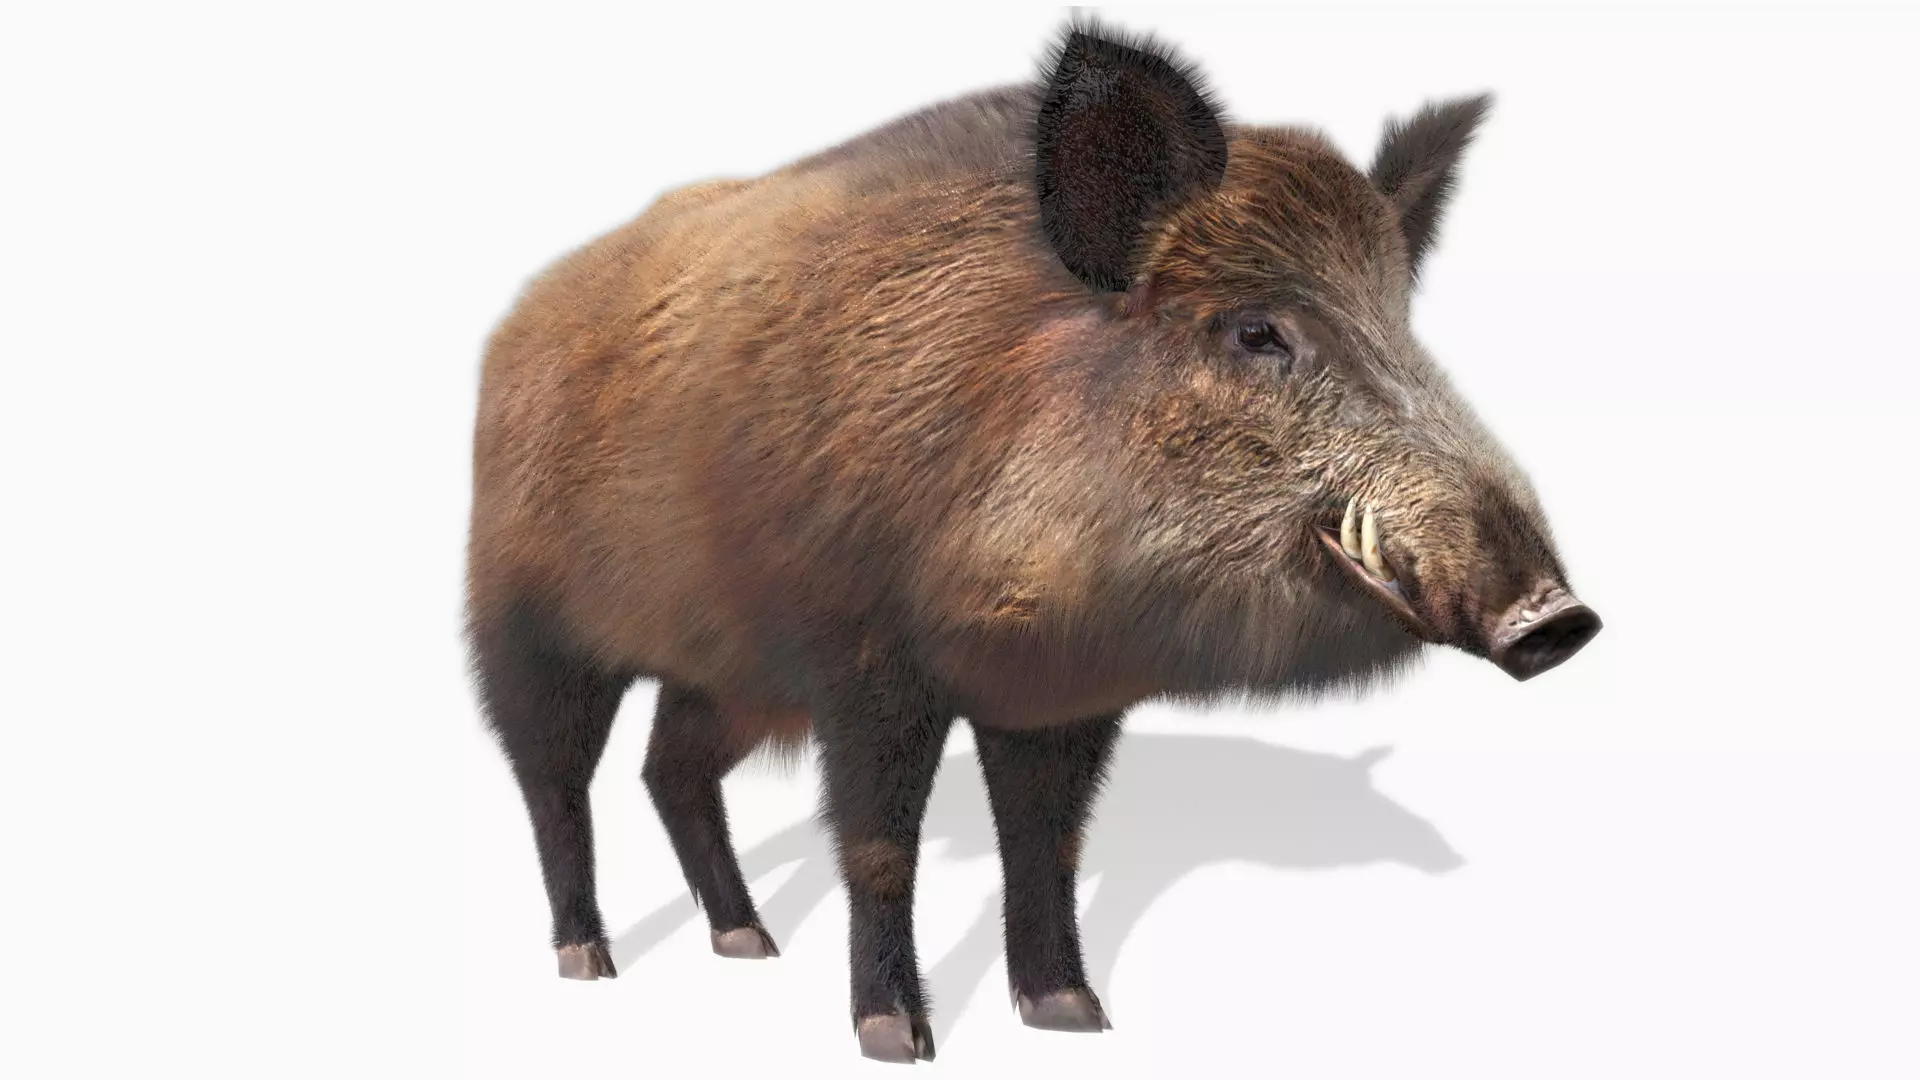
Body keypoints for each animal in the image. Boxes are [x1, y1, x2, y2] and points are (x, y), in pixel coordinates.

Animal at [465, 19, 1601, 1064]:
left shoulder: (1061, 696)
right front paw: (897, 1038)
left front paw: (1074, 1017)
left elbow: (1049, 844)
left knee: (670, 768)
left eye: (1403, 326)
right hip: (524, 629)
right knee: (553, 781)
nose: (1561, 617)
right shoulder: (861, 665)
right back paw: (589, 960)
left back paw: (749, 943)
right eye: (1256, 332)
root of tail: (516, 325)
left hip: (726, 676)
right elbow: (880, 846)